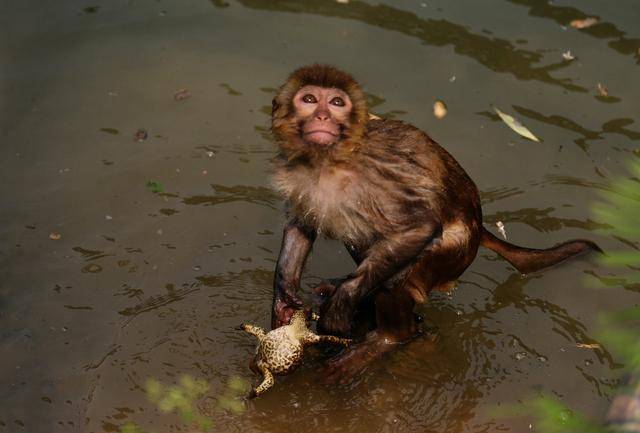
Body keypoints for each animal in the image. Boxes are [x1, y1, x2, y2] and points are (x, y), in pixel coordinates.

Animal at [266, 64, 600, 372]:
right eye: (309, 99)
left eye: (337, 103)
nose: (322, 117)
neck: (327, 161)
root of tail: (480, 227)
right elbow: (301, 225)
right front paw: (284, 298)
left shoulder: (376, 176)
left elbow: (419, 227)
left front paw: (342, 304)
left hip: (453, 255)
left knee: (400, 266)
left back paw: (390, 337)